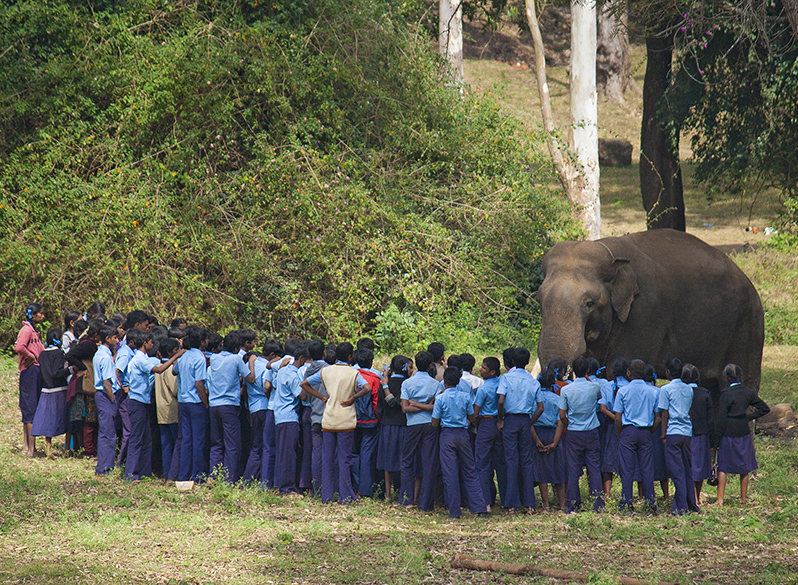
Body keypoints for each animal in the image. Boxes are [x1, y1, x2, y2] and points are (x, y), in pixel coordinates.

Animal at [536, 229, 764, 397]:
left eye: (589, 303)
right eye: (539, 298)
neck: (611, 253)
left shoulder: (643, 314)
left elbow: (618, 371)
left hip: (748, 327)